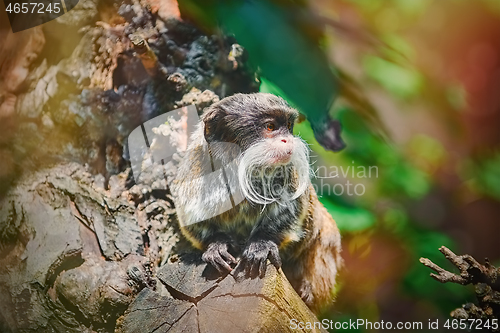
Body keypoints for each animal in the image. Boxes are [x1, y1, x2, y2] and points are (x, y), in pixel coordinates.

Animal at [171, 92, 340, 310]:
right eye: (270, 127)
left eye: (288, 125)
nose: (287, 140)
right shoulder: (193, 172)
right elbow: (193, 222)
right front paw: (216, 246)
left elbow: (292, 212)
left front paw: (262, 244)